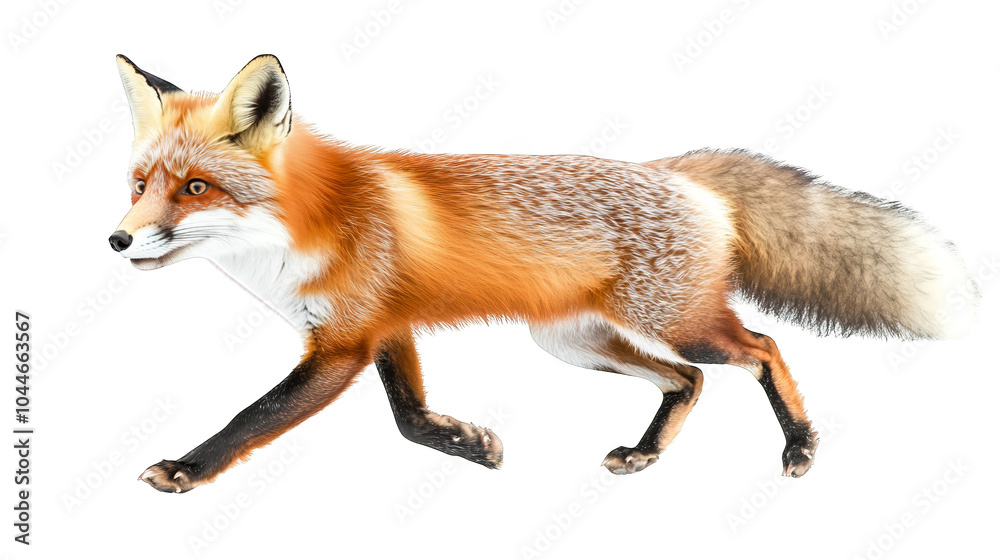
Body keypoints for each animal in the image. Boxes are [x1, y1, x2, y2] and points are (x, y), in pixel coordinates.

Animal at [109, 54, 977, 493]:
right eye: (140, 183)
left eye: (195, 188)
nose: (117, 240)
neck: (302, 233)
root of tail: (677, 173)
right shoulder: (385, 329)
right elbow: (409, 417)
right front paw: (471, 447)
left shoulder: (345, 343)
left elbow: (251, 417)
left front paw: (185, 468)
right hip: (573, 342)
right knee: (688, 382)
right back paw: (645, 454)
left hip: (678, 324)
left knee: (761, 349)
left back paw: (800, 446)